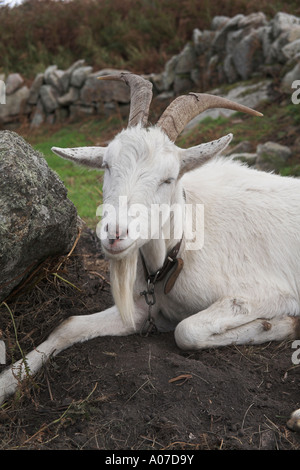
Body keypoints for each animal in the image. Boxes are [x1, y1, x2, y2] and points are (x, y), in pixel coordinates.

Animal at [0, 75, 300, 432]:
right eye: (107, 165)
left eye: (168, 178)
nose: (116, 233)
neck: (179, 250)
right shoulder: (146, 307)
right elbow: (68, 325)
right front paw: (8, 380)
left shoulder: (270, 292)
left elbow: (187, 331)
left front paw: (275, 326)